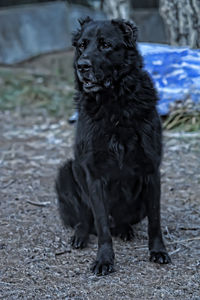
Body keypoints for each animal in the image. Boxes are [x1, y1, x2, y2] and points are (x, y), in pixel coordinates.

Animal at [55, 15, 170, 274]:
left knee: (121, 221)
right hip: (66, 172)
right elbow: (101, 225)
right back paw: (80, 236)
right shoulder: (94, 174)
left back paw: (125, 230)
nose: (82, 66)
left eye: (106, 45)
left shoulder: (151, 170)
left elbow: (155, 220)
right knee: (86, 219)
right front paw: (104, 259)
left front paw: (158, 251)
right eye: (82, 46)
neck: (114, 104)